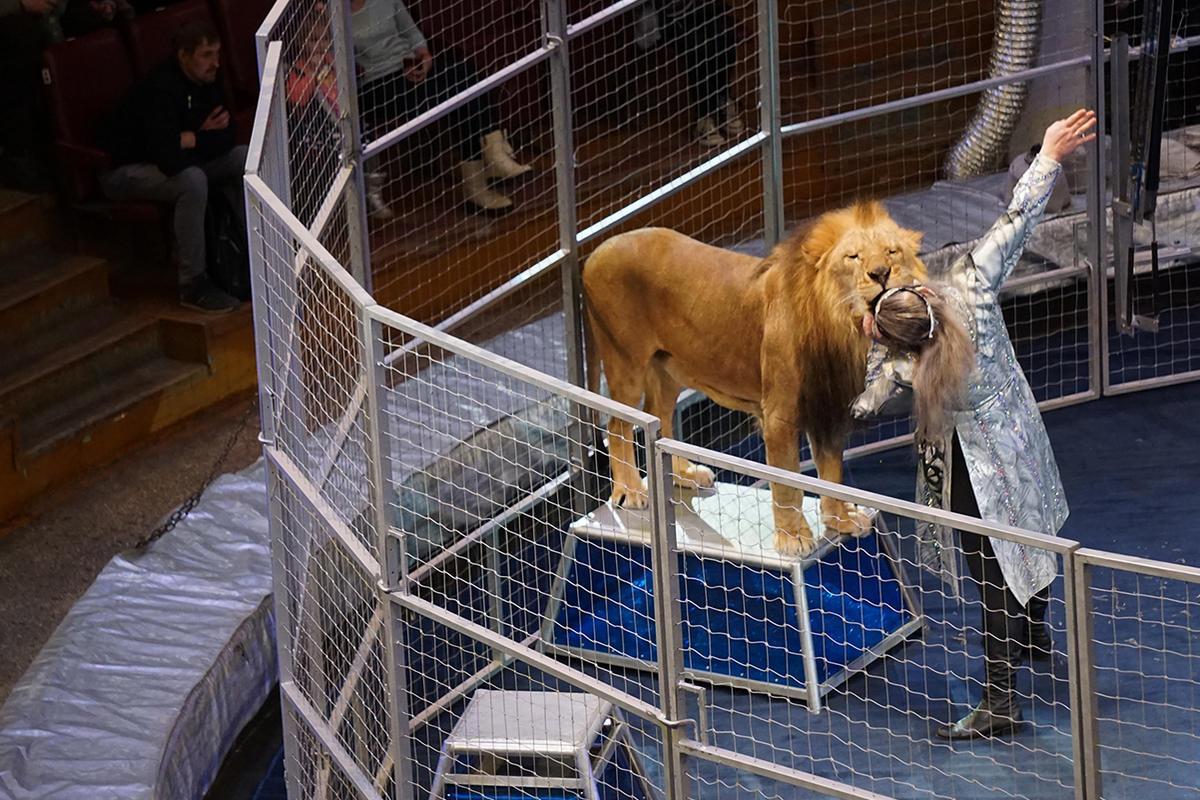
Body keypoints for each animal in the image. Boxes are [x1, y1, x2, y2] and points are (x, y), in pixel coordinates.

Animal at [580, 205, 926, 556]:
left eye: (892, 251)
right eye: (852, 256)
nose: (881, 273)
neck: (841, 324)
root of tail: (597, 250)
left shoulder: (827, 408)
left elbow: (830, 472)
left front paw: (839, 518)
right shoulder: (780, 416)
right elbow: (789, 484)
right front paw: (792, 537)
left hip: (668, 368)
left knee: (659, 419)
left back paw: (683, 474)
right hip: (625, 361)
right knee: (618, 425)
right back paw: (631, 491)